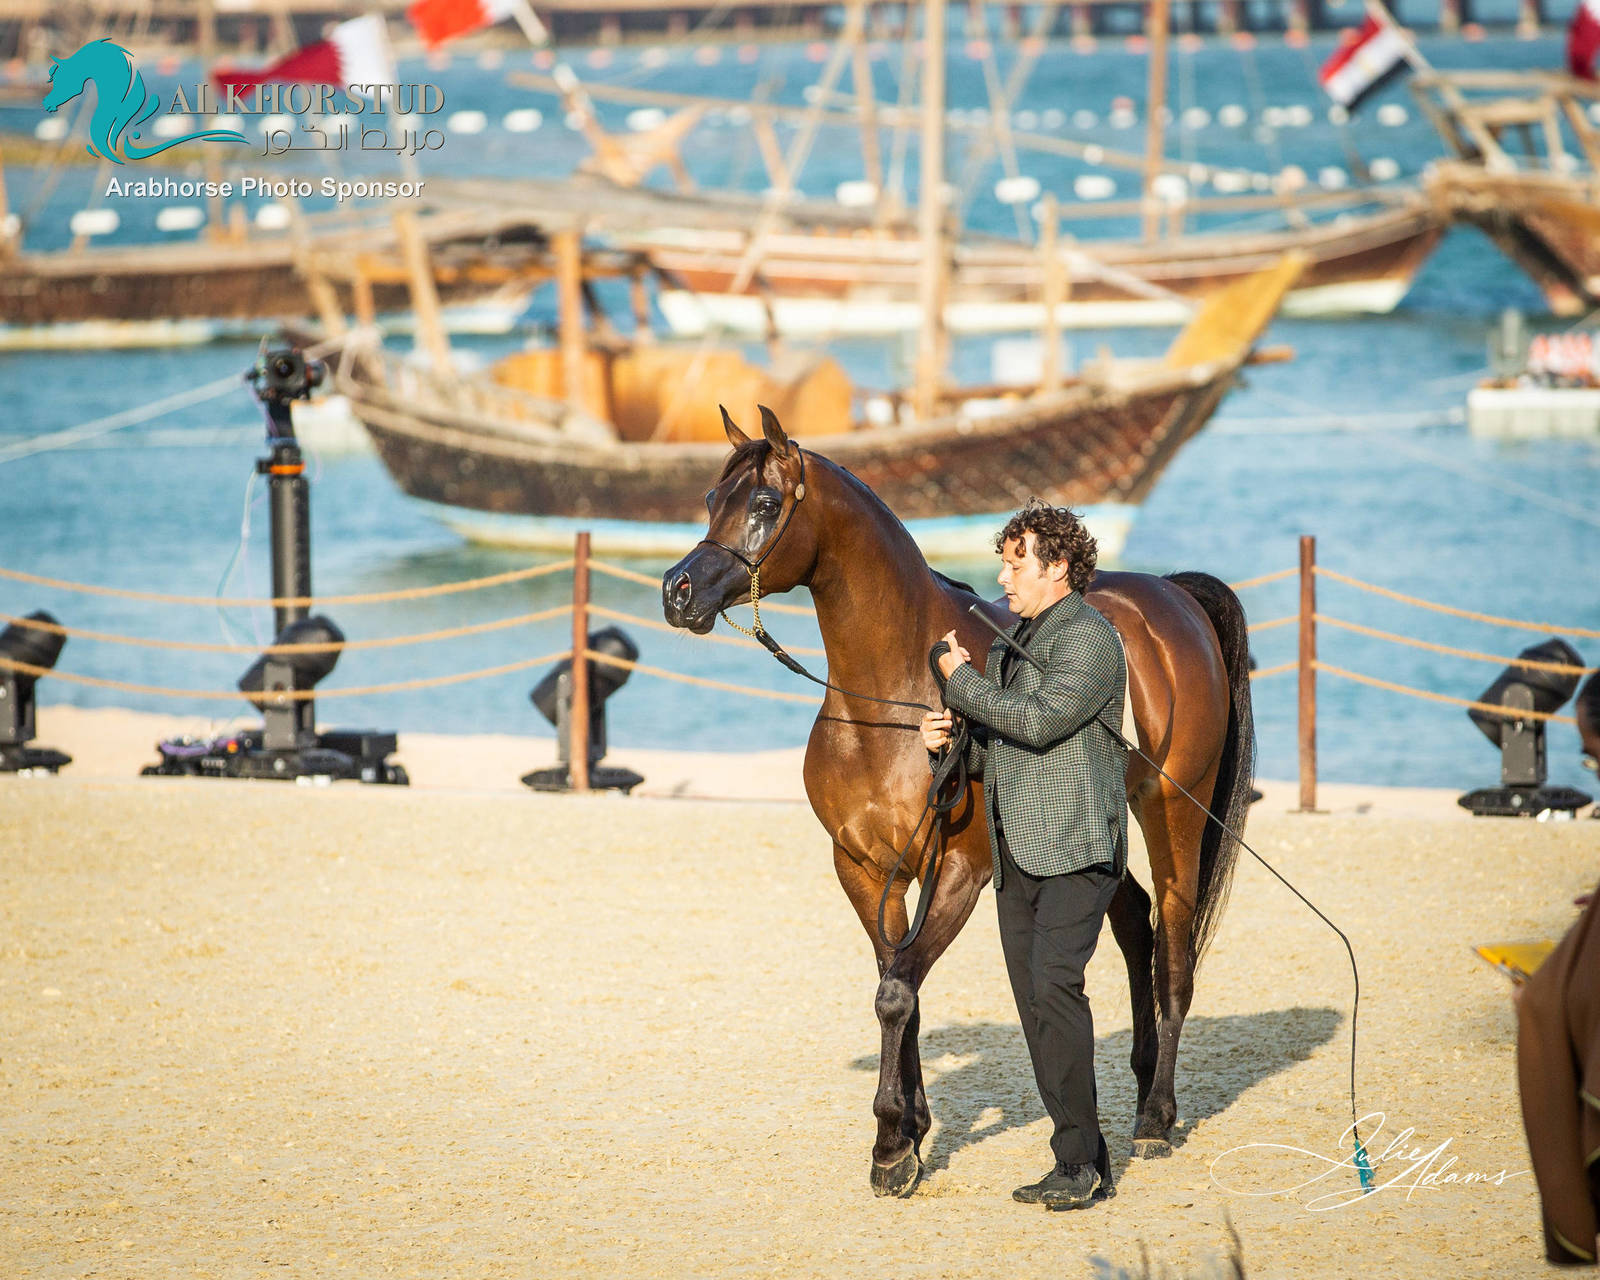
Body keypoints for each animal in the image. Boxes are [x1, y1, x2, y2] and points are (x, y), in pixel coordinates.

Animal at [662, 406, 1254, 1198]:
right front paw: (909, 1133)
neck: (892, 700)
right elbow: (896, 983)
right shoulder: (864, 867)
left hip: (1173, 812)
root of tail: (1174, 599)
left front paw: (890, 1145)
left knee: (1175, 946)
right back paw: (1136, 1084)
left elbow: (895, 993)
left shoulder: (961, 872)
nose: (677, 591)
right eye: (707, 500)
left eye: (762, 503)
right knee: (1134, 921)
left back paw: (1157, 1116)